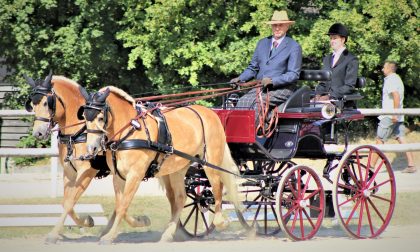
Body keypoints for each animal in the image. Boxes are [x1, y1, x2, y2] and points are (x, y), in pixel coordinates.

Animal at [24, 74, 149, 243]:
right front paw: (86, 221)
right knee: (121, 202)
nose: (38, 133)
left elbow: (70, 201)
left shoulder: (87, 171)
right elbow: (66, 203)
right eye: (32, 104)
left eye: (46, 102)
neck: (78, 131)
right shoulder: (69, 172)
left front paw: (55, 234)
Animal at [79, 86, 241, 244]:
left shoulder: (135, 175)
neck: (129, 132)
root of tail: (210, 113)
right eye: (84, 117)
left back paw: (221, 222)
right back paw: (168, 234)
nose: (91, 148)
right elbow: (120, 206)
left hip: (210, 163)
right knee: (180, 198)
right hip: (178, 169)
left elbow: (123, 205)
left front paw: (111, 236)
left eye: (101, 118)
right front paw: (140, 221)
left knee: (217, 188)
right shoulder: (118, 177)